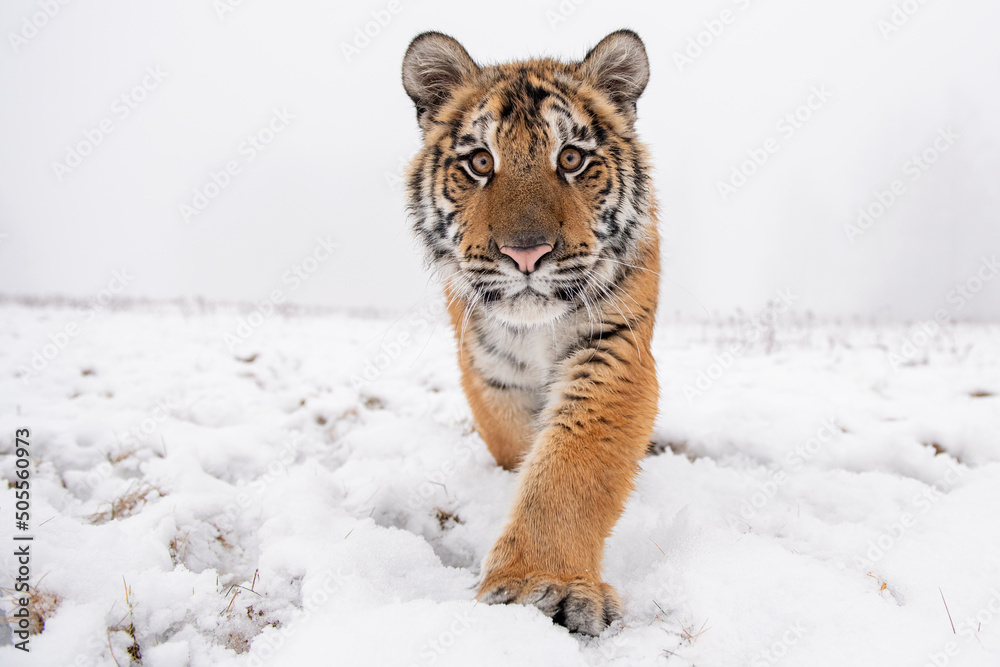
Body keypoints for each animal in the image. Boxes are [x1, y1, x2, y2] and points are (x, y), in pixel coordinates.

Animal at [402, 29, 659, 636]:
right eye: (479, 162)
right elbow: (521, 448)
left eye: (570, 158)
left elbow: (568, 468)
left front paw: (545, 584)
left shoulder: (616, 349)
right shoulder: (487, 369)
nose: (526, 253)